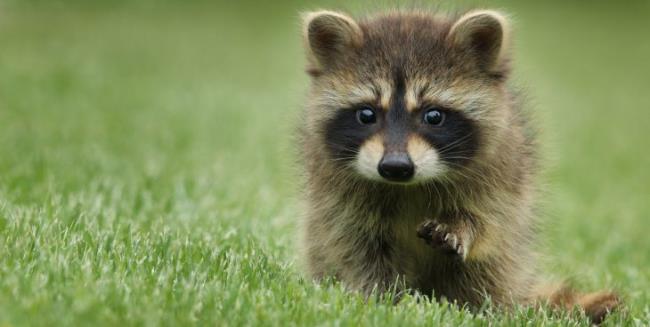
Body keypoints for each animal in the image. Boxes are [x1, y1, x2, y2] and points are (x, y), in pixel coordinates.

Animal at [298, 8, 616, 326]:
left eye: (434, 116)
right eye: (366, 114)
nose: (395, 167)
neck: (409, 186)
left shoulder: (502, 169)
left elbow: (490, 220)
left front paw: (463, 226)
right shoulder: (337, 193)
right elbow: (355, 246)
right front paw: (383, 299)